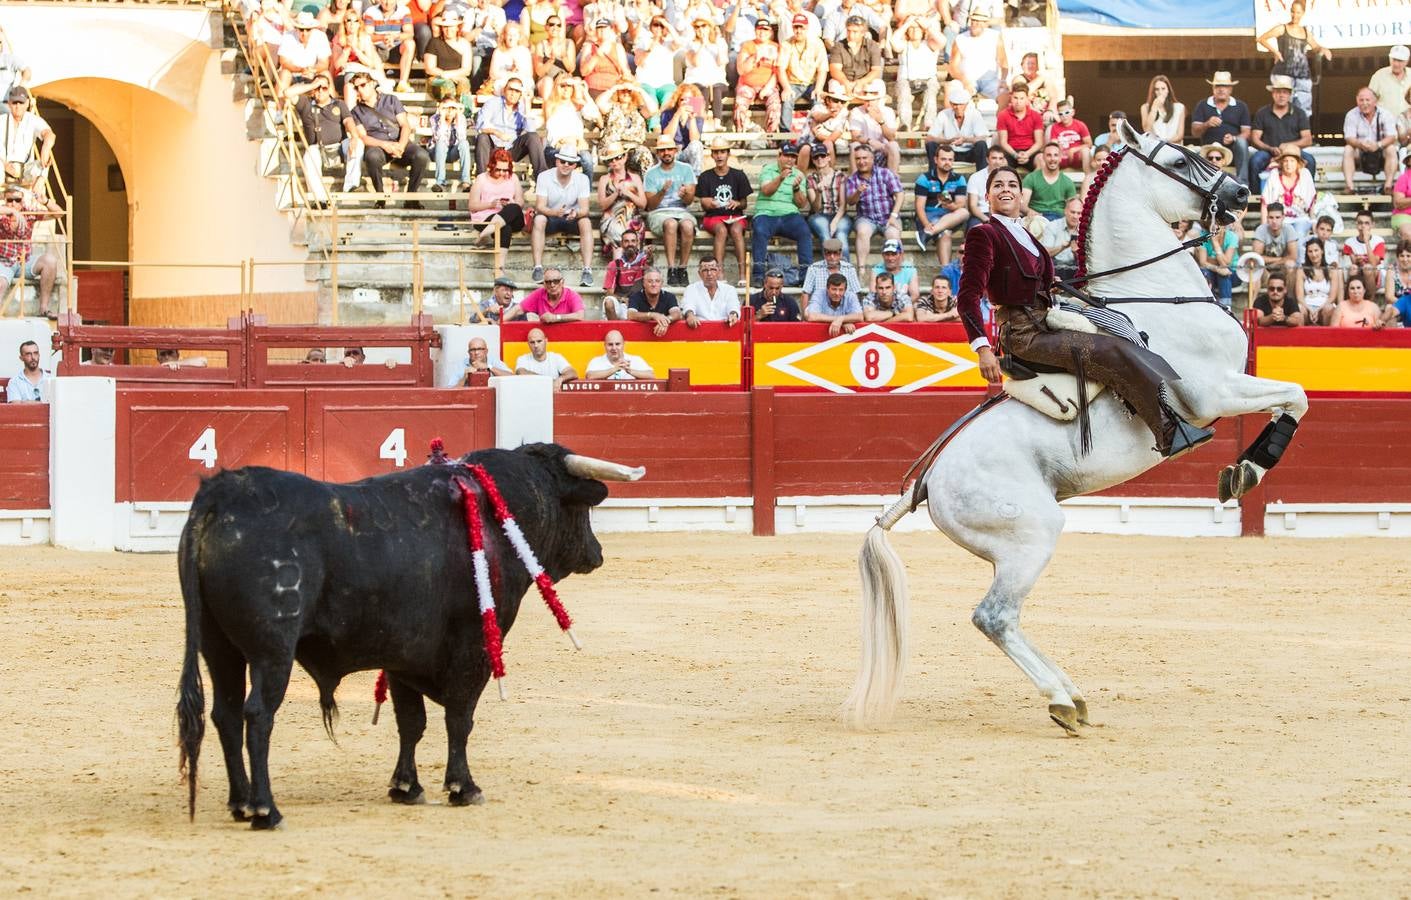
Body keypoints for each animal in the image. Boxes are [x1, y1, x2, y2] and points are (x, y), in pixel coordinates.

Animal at [173, 445, 643, 835]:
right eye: (581, 508)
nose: (597, 553)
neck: (498, 511)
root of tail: (221, 494)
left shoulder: (402, 657)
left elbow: (410, 722)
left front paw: (405, 787)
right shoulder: (472, 650)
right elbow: (459, 718)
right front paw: (463, 787)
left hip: (219, 648)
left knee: (226, 714)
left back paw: (239, 804)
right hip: (272, 652)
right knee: (257, 715)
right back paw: (265, 810)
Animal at [840, 121, 1303, 733]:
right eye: (1182, 158)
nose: (1241, 194)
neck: (1159, 296)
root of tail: (926, 483)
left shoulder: (1227, 387)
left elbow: (1293, 397)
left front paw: (1240, 471)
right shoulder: (1214, 392)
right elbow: (1296, 396)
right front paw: (1247, 469)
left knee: (1003, 619)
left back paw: (1072, 695)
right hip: (1032, 535)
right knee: (993, 616)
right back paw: (1062, 700)